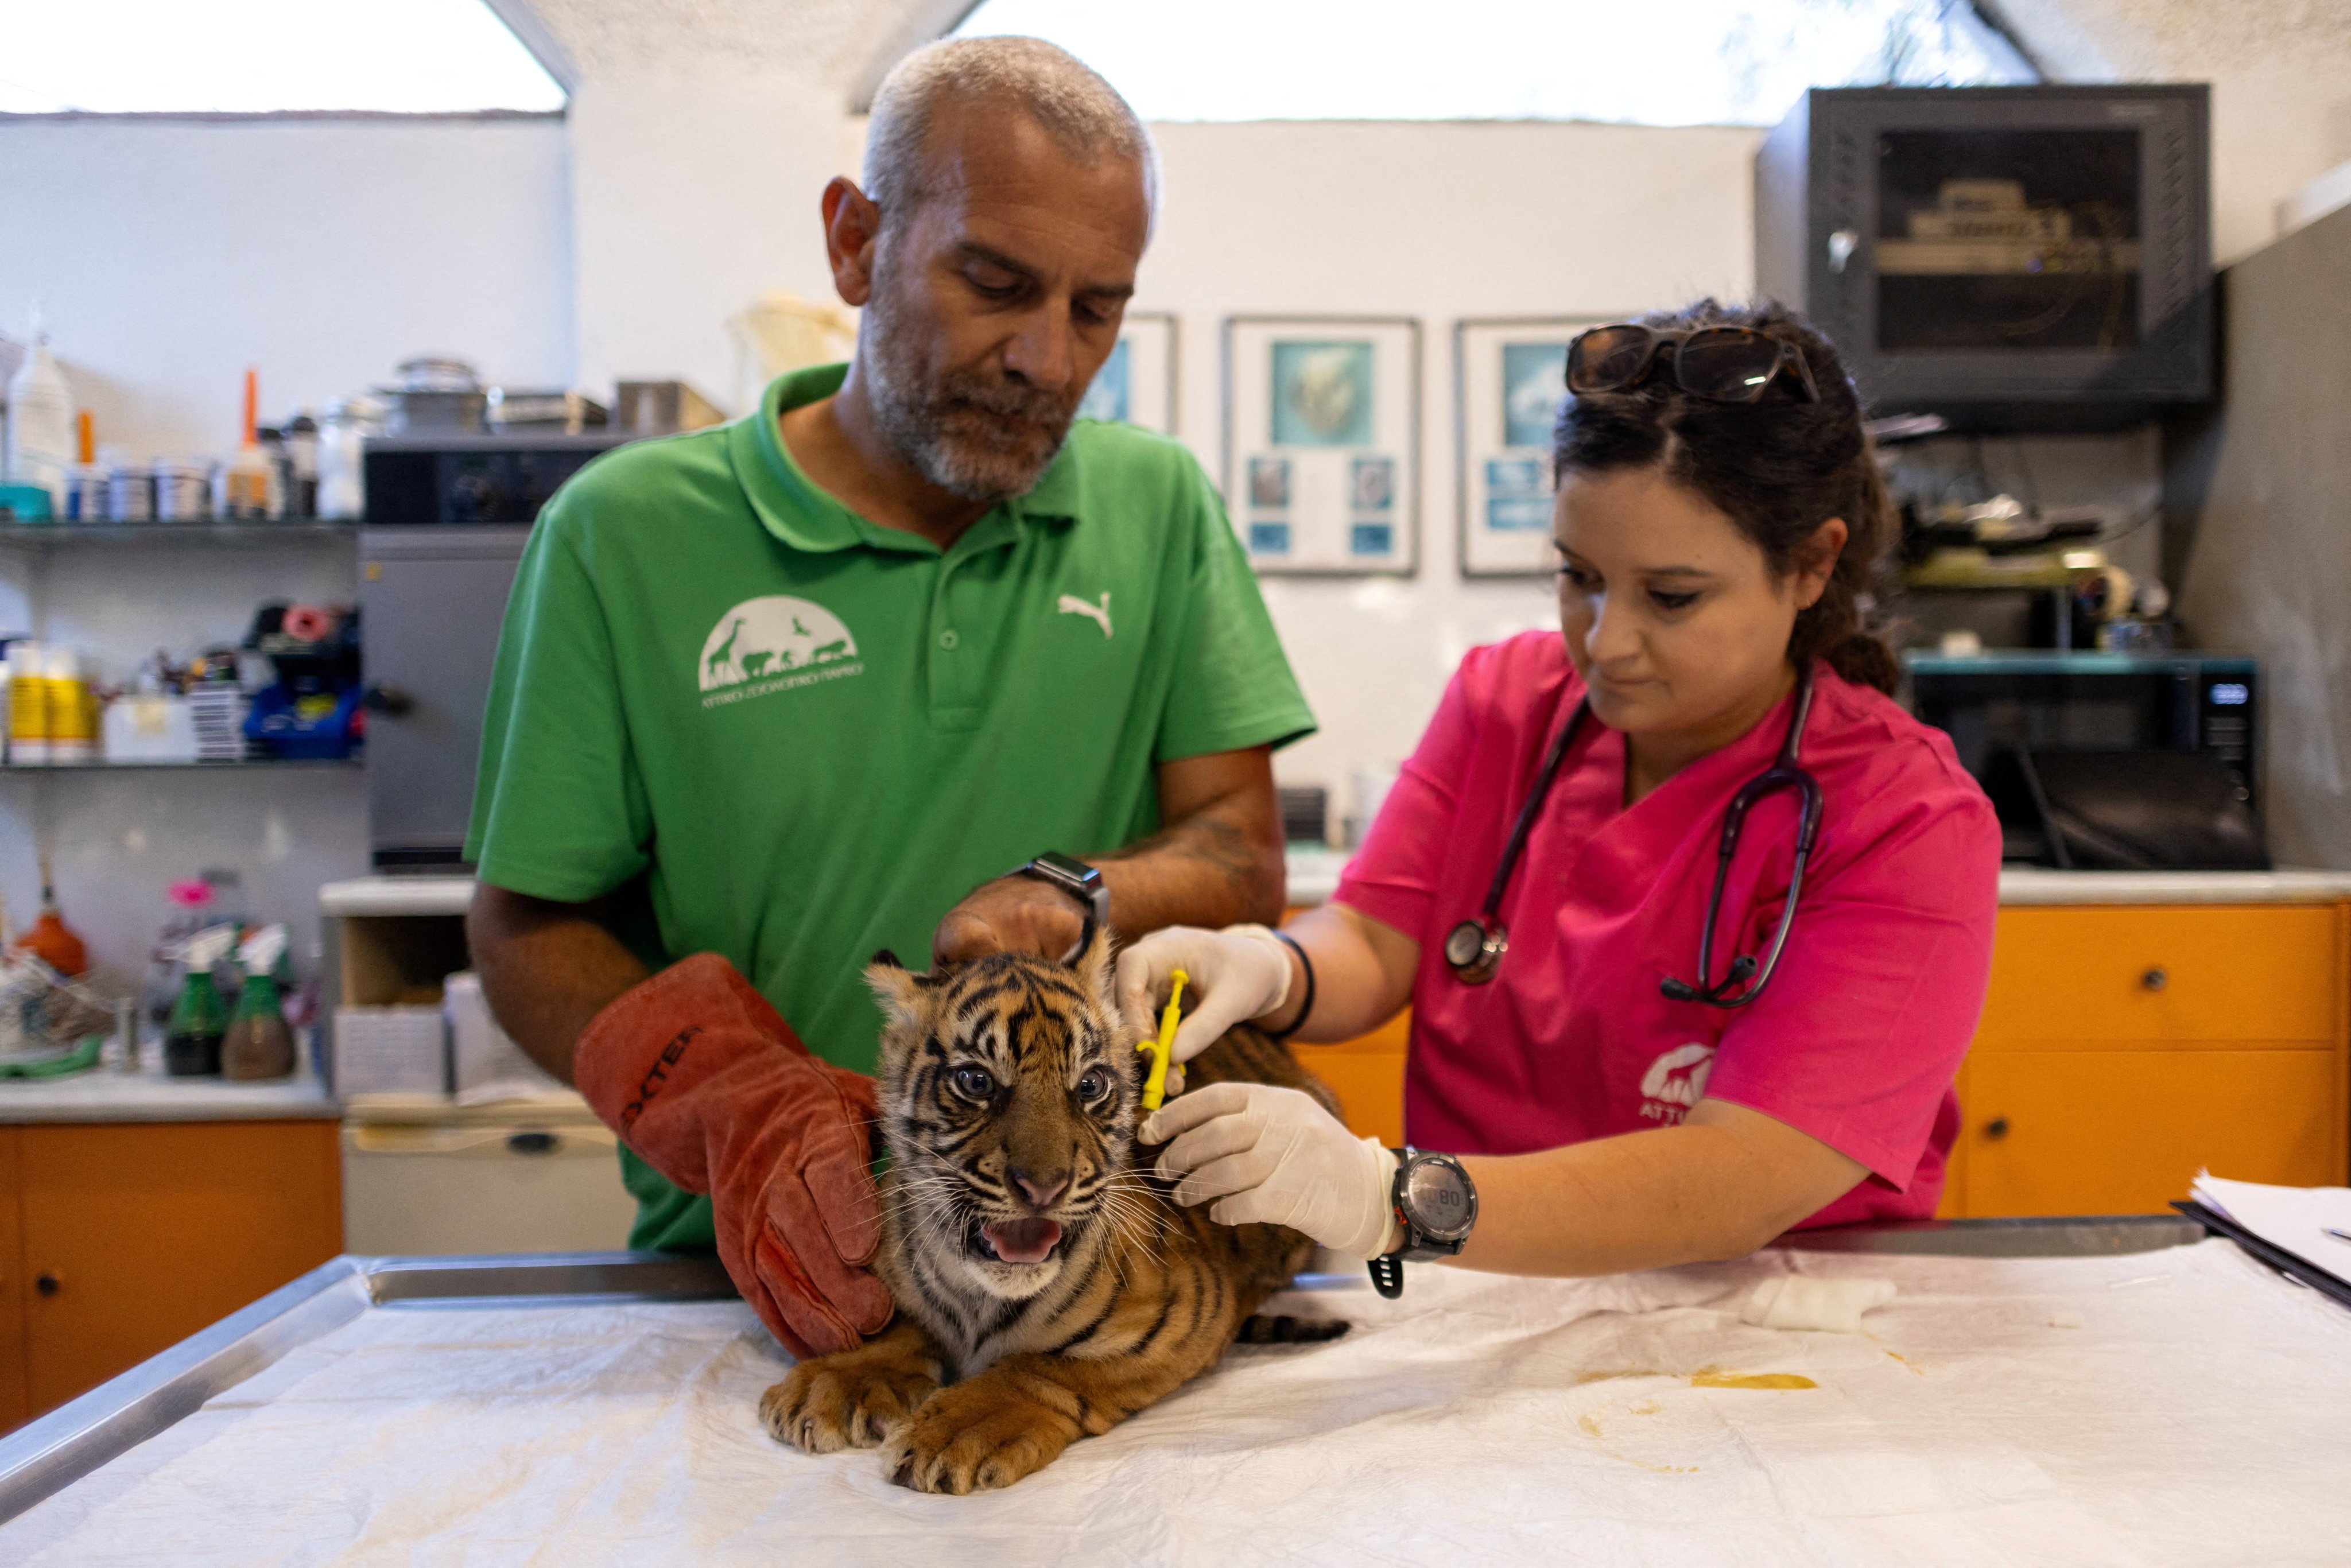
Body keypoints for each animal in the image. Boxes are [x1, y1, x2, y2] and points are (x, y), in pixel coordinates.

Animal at [759, 921, 1348, 1494]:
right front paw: (832, 1384)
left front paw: (958, 1431)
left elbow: (1045, 1368)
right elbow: (894, 1326)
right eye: (976, 1081)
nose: (1045, 1187)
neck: (978, 1299)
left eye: (1090, 1085)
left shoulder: (1192, 1317)